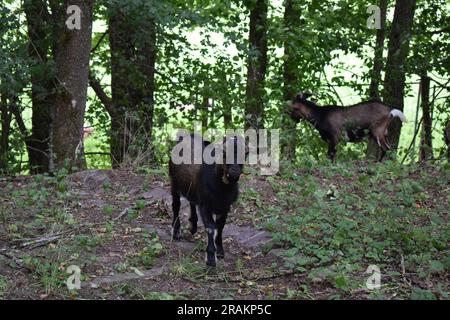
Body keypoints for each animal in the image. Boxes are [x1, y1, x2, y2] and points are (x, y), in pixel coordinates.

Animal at [169, 133, 246, 268]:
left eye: (245, 153)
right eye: (224, 152)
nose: (235, 170)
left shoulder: (225, 207)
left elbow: (220, 227)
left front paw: (220, 251)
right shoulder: (205, 205)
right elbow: (211, 227)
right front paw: (210, 258)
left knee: (192, 201)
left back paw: (193, 225)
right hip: (174, 182)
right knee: (176, 205)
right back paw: (176, 232)